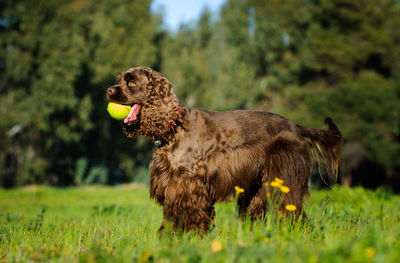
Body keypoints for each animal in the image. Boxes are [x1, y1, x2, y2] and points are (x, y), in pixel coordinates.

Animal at [106, 67, 340, 234]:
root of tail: (296, 127)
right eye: (120, 79)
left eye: (131, 81)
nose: (108, 90)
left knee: (291, 211)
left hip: (282, 180)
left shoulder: (186, 184)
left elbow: (185, 214)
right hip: (258, 188)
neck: (174, 127)